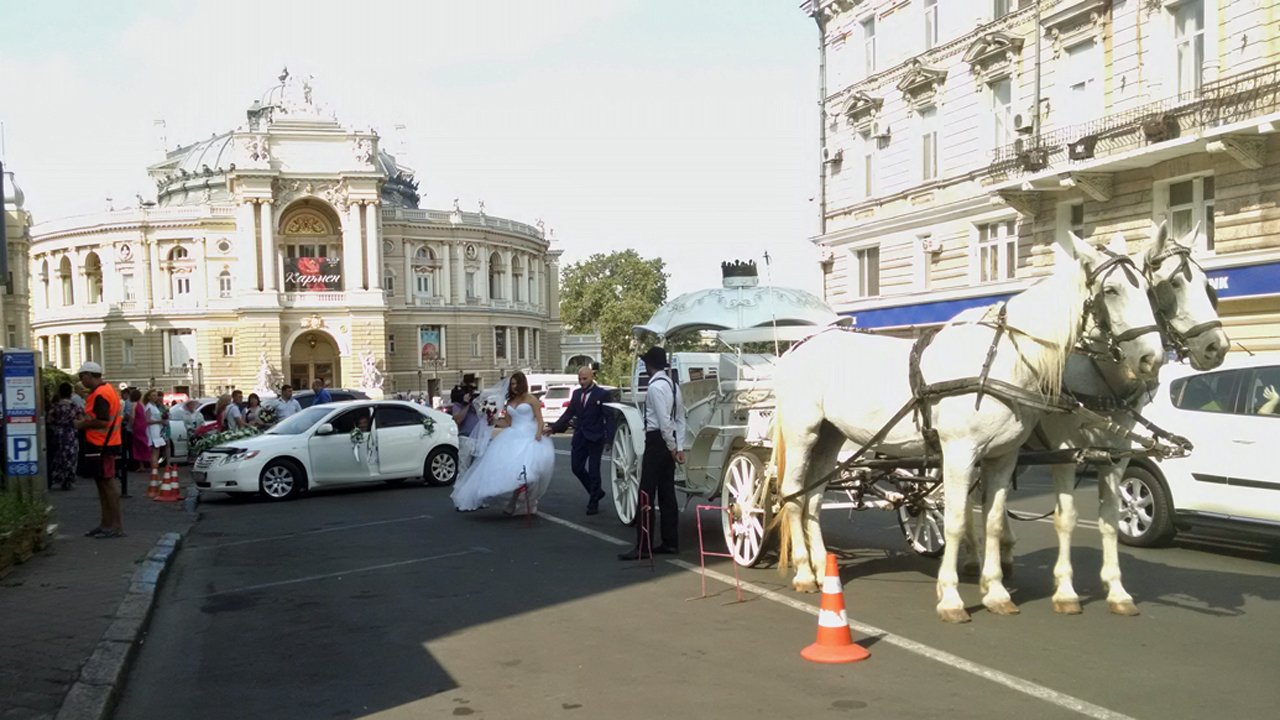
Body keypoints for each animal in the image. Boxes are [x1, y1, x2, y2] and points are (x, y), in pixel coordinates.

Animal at [762, 233, 1167, 620]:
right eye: (1111, 290)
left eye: (1148, 289)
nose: (1153, 358)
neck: (1002, 361)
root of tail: (799, 347)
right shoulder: (959, 453)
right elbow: (956, 520)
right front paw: (952, 598)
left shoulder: (1002, 458)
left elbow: (992, 520)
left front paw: (997, 592)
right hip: (802, 436)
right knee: (793, 496)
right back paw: (803, 572)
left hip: (830, 439)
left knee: (813, 500)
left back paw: (821, 567)